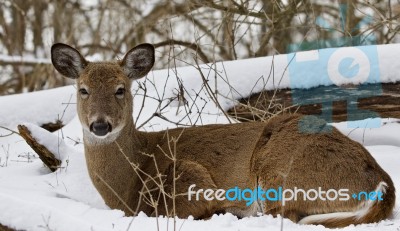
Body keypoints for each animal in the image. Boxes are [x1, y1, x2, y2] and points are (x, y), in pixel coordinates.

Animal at [51, 42, 396, 228]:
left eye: (121, 89)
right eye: (83, 89)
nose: (100, 125)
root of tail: (382, 183)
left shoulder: (191, 178)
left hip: (281, 169)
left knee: (283, 215)